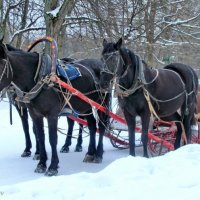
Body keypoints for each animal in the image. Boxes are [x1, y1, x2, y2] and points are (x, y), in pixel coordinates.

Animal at [0, 41, 109, 176]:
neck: (39, 78)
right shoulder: (34, 113)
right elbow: (39, 136)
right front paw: (41, 163)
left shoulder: (52, 114)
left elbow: (52, 138)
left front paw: (52, 166)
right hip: (85, 107)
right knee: (92, 126)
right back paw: (90, 153)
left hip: (102, 104)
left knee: (101, 126)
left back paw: (98, 154)